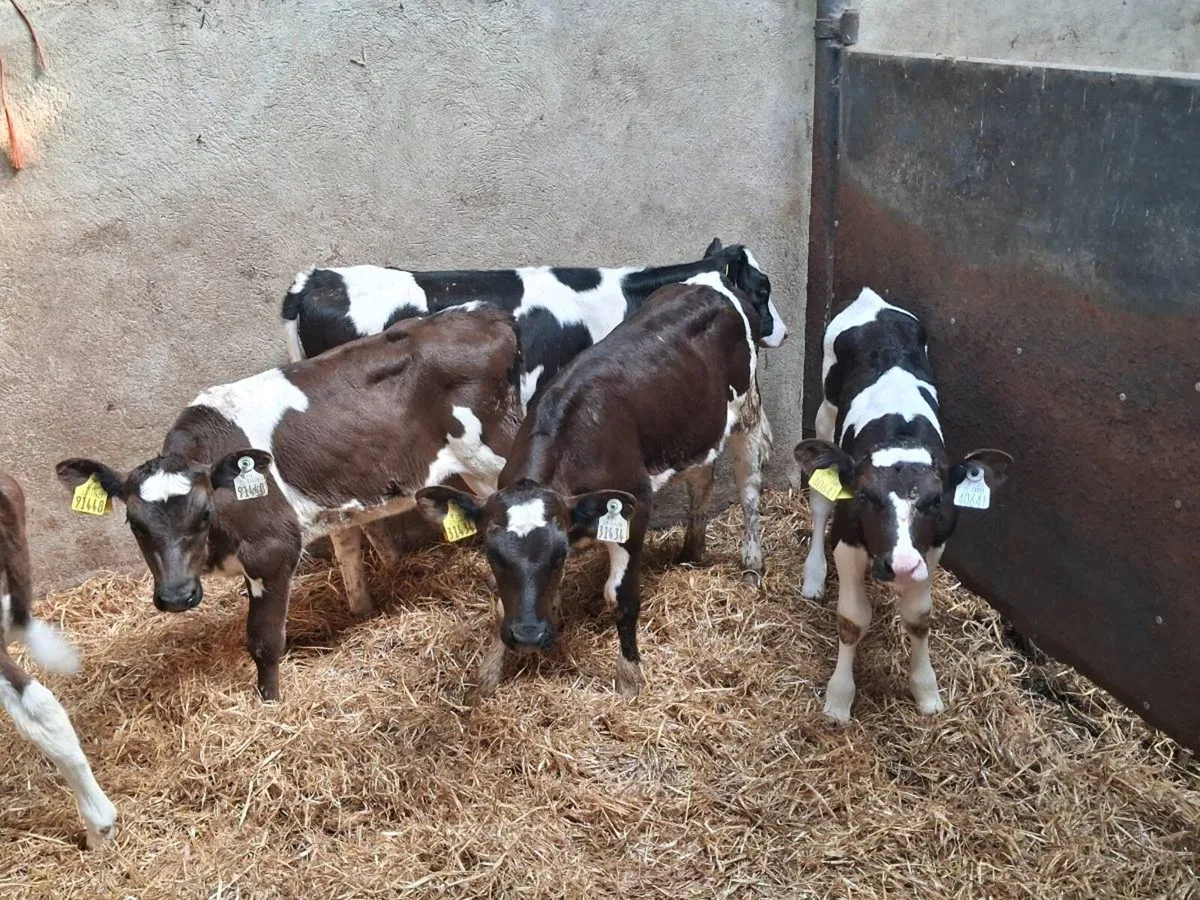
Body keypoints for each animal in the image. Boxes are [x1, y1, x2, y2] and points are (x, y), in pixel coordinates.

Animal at [56, 307, 523, 701]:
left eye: (204, 513)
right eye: (135, 524)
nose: (175, 597)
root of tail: (487, 316)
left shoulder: (272, 549)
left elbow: (264, 641)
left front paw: (269, 703)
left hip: (490, 460)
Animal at [414, 272, 771, 699]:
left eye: (558, 556)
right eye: (492, 554)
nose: (528, 635)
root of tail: (711, 279)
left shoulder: (634, 508)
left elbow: (621, 597)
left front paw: (630, 677)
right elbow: (503, 604)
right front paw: (490, 671)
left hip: (748, 410)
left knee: (749, 490)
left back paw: (751, 566)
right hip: (699, 429)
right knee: (701, 481)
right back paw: (691, 551)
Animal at [793, 287, 1012, 723]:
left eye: (936, 499)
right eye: (864, 497)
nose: (902, 565)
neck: (901, 436)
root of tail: (872, 299)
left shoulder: (933, 547)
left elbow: (919, 617)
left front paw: (926, 690)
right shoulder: (848, 539)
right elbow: (852, 620)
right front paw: (839, 699)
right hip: (825, 414)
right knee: (821, 502)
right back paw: (813, 575)